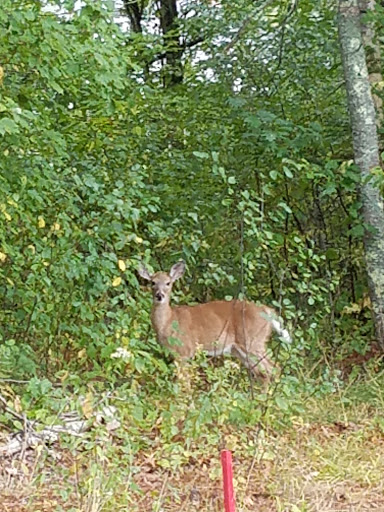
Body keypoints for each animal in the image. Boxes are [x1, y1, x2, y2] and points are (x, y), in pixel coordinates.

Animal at [139, 260, 292, 384]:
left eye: (168, 283)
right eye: (152, 282)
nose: (159, 295)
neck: (168, 322)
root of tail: (267, 311)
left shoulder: (185, 350)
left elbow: (185, 382)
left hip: (252, 340)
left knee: (272, 368)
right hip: (239, 349)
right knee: (262, 372)